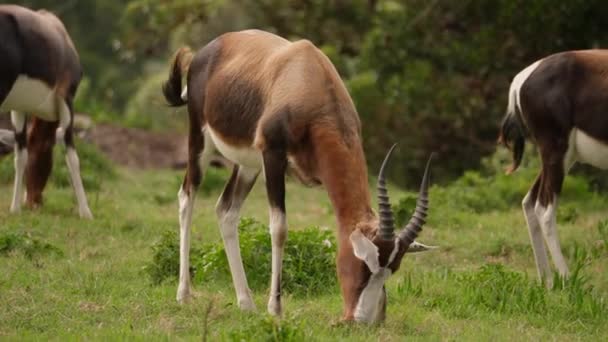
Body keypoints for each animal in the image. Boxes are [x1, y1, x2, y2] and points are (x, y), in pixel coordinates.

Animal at [0, 4, 91, 219]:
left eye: (40, 152)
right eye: (46, 151)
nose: (34, 202)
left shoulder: (20, 108)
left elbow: (20, 155)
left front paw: (15, 209)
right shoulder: (67, 99)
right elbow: (72, 156)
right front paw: (86, 213)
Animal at [164, 30, 434, 324]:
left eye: (391, 270)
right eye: (364, 266)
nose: (362, 320)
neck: (307, 78)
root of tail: (209, 49)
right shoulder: (274, 157)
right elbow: (280, 228)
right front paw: (276, 309)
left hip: (248, 164)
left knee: (226, 210)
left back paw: (246, 303)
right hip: (200, 143)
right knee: (187, 197)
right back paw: (184, 295)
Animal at [498, 49, 608, 286]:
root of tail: (521, 78)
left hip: (562, 158)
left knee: (529, 202)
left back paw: (547, 282)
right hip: (556, 153)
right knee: (544, 209)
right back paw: (568, 282)